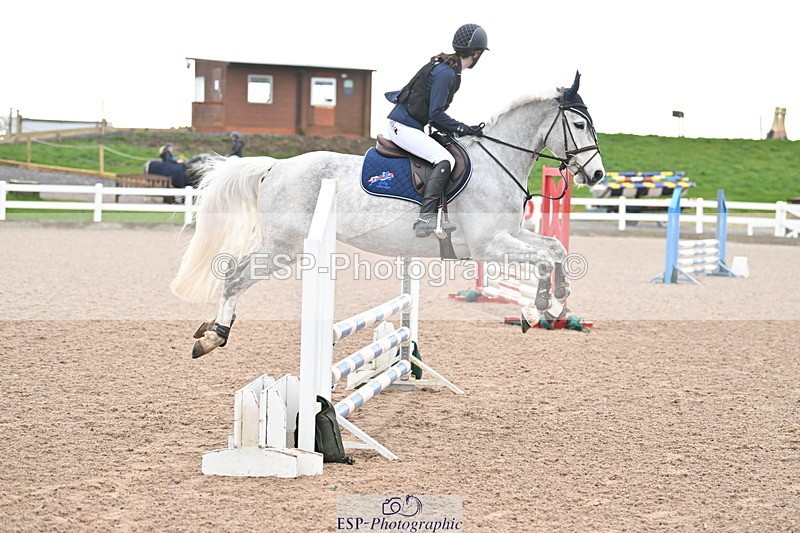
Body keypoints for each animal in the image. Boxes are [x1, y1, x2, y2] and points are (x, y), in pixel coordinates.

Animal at [171, 71, 605, 358]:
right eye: (579, 124)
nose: (598, 175)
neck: (497, 160)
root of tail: (275, 167)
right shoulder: (488, 246)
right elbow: (544, 257)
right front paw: (537, 310)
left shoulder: (507, 236)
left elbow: (554, 248)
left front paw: (557, 302)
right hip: (283, 247)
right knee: (235, 277)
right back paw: (214, 336)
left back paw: (210, 331)